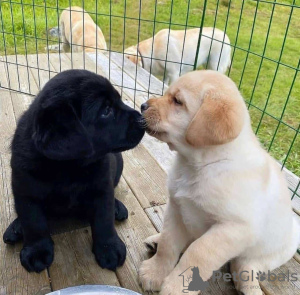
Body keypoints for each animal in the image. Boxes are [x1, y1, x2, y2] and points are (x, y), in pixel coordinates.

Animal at [2, 69, 145, 272]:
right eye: (106, 110)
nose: (143, 119)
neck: (68, 167)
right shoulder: (25, 191)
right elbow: (33, 222)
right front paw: (37, 250)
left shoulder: (102, 187)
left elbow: (104, 219)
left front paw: (108, 248)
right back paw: (16, 227)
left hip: (118, 162)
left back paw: (117, 207)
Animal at [139, 71, 298, 295]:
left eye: (178, 101)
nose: (143, 105)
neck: (201, 165)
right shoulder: (176, 207)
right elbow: (169, 243)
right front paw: (155, 272)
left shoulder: (233, 228)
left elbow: (198, 253)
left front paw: (177, 287)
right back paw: (156, 240)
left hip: (260, 255)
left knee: (243, 268)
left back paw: (248, 286)